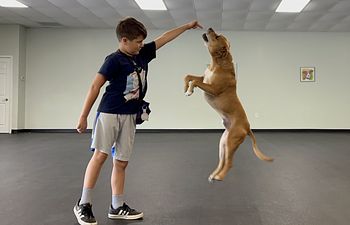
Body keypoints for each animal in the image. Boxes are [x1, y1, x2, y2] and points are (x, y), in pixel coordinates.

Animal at [185, 27, 272, 183]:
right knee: (222, 161)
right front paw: (185, 87)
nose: (210, 28)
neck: (217, 64)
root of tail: (247, 128)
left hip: (231, 142)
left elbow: (194, 81)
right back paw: (214, 175)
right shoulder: (203, 78)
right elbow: (189, 76)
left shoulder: (212, 89)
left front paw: (189, 91)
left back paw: (219, 177)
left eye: (217, 36)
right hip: (223, 144)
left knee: (229, 163)